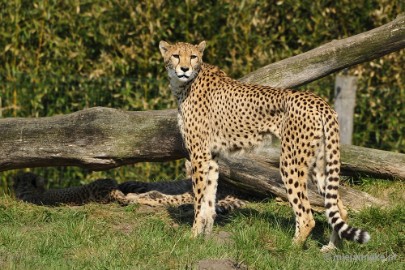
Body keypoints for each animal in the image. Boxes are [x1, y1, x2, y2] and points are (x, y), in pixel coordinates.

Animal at [158, 39, 370, 250]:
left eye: (193, 56)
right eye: (176, 55)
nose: (184, 69)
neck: (185, 84)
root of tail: (319, 101)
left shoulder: (199, 155)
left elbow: (199, 200)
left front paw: (192, 236)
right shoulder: (211, 157)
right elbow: (209, 200)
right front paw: (206, 239)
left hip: (290, 162)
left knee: (306, 216)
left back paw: (291, 248)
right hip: (319, 166)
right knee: (338, 209)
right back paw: (332, 247)